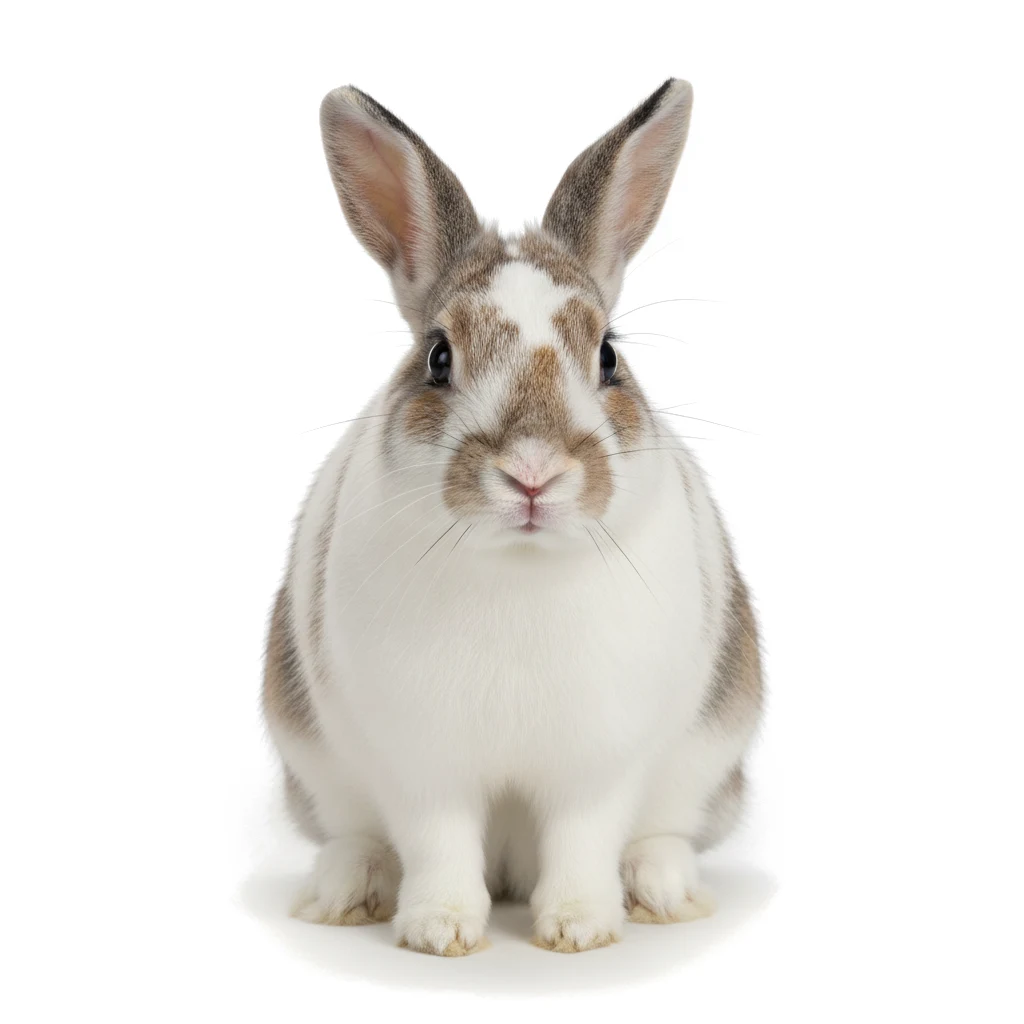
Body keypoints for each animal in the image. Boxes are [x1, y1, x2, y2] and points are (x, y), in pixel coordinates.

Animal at [262, 78, 763, 957]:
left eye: (608, 355)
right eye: (437, 356)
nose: (532, 473)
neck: (518, 568)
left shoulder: (599, 764)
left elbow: (583, 837)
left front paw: (578, 929)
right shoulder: (421, 764)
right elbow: (438, 841)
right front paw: (441, 932)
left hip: (709, 760)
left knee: (664, 832)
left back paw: (661, 891)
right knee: (356, 834)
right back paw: (349, 890)